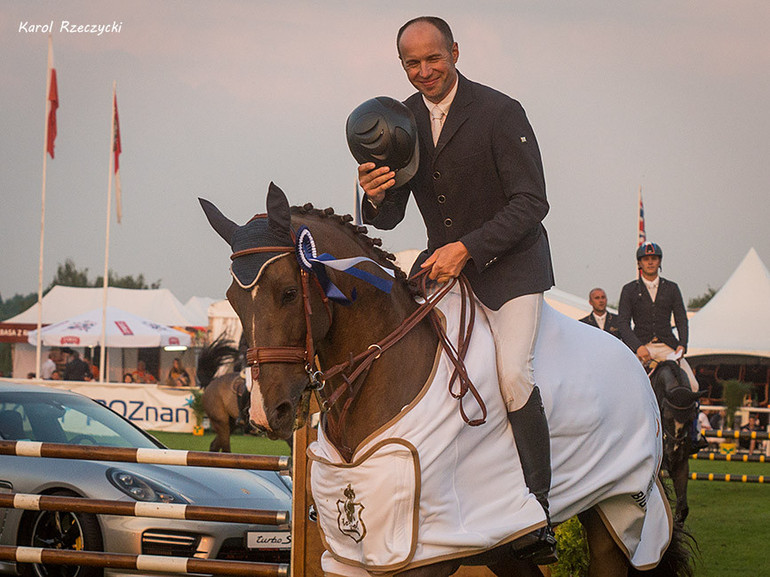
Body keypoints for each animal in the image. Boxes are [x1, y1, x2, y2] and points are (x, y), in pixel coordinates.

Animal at [198, 183, 688, 576]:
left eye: (287, 292)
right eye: (233, 301)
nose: (268, 413)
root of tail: (635, 361)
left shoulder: (423, 554)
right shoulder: (355, 556)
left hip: (619, 512)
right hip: (503, 543)